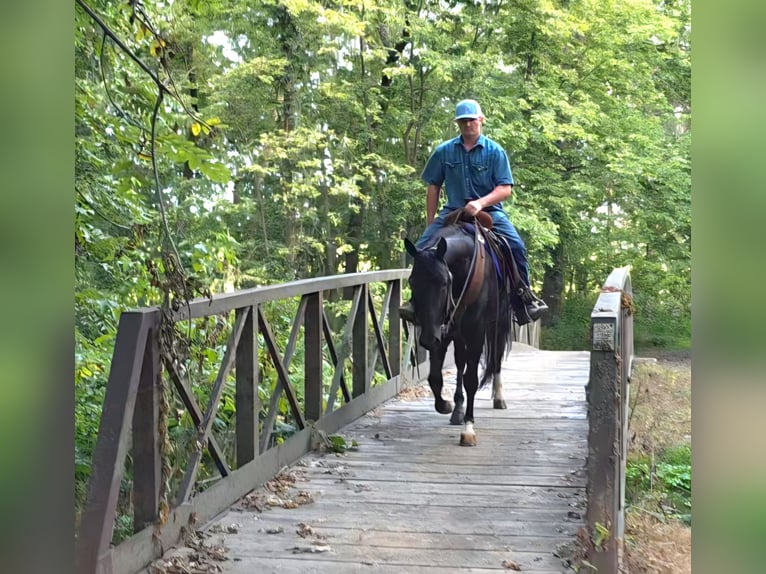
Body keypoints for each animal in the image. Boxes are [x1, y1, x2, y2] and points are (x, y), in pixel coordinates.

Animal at [403, 215, 516, 446]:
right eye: (412, 282)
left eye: (444, 282)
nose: (427, 340)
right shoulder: (440, 330)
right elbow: (435, 377)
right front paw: (446, 405)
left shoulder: (475, 331)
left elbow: (471, 380)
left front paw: (469, 429)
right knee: (460, 363)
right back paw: (457, 409)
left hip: (497, 323)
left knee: (496, 357)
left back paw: (498, 397)